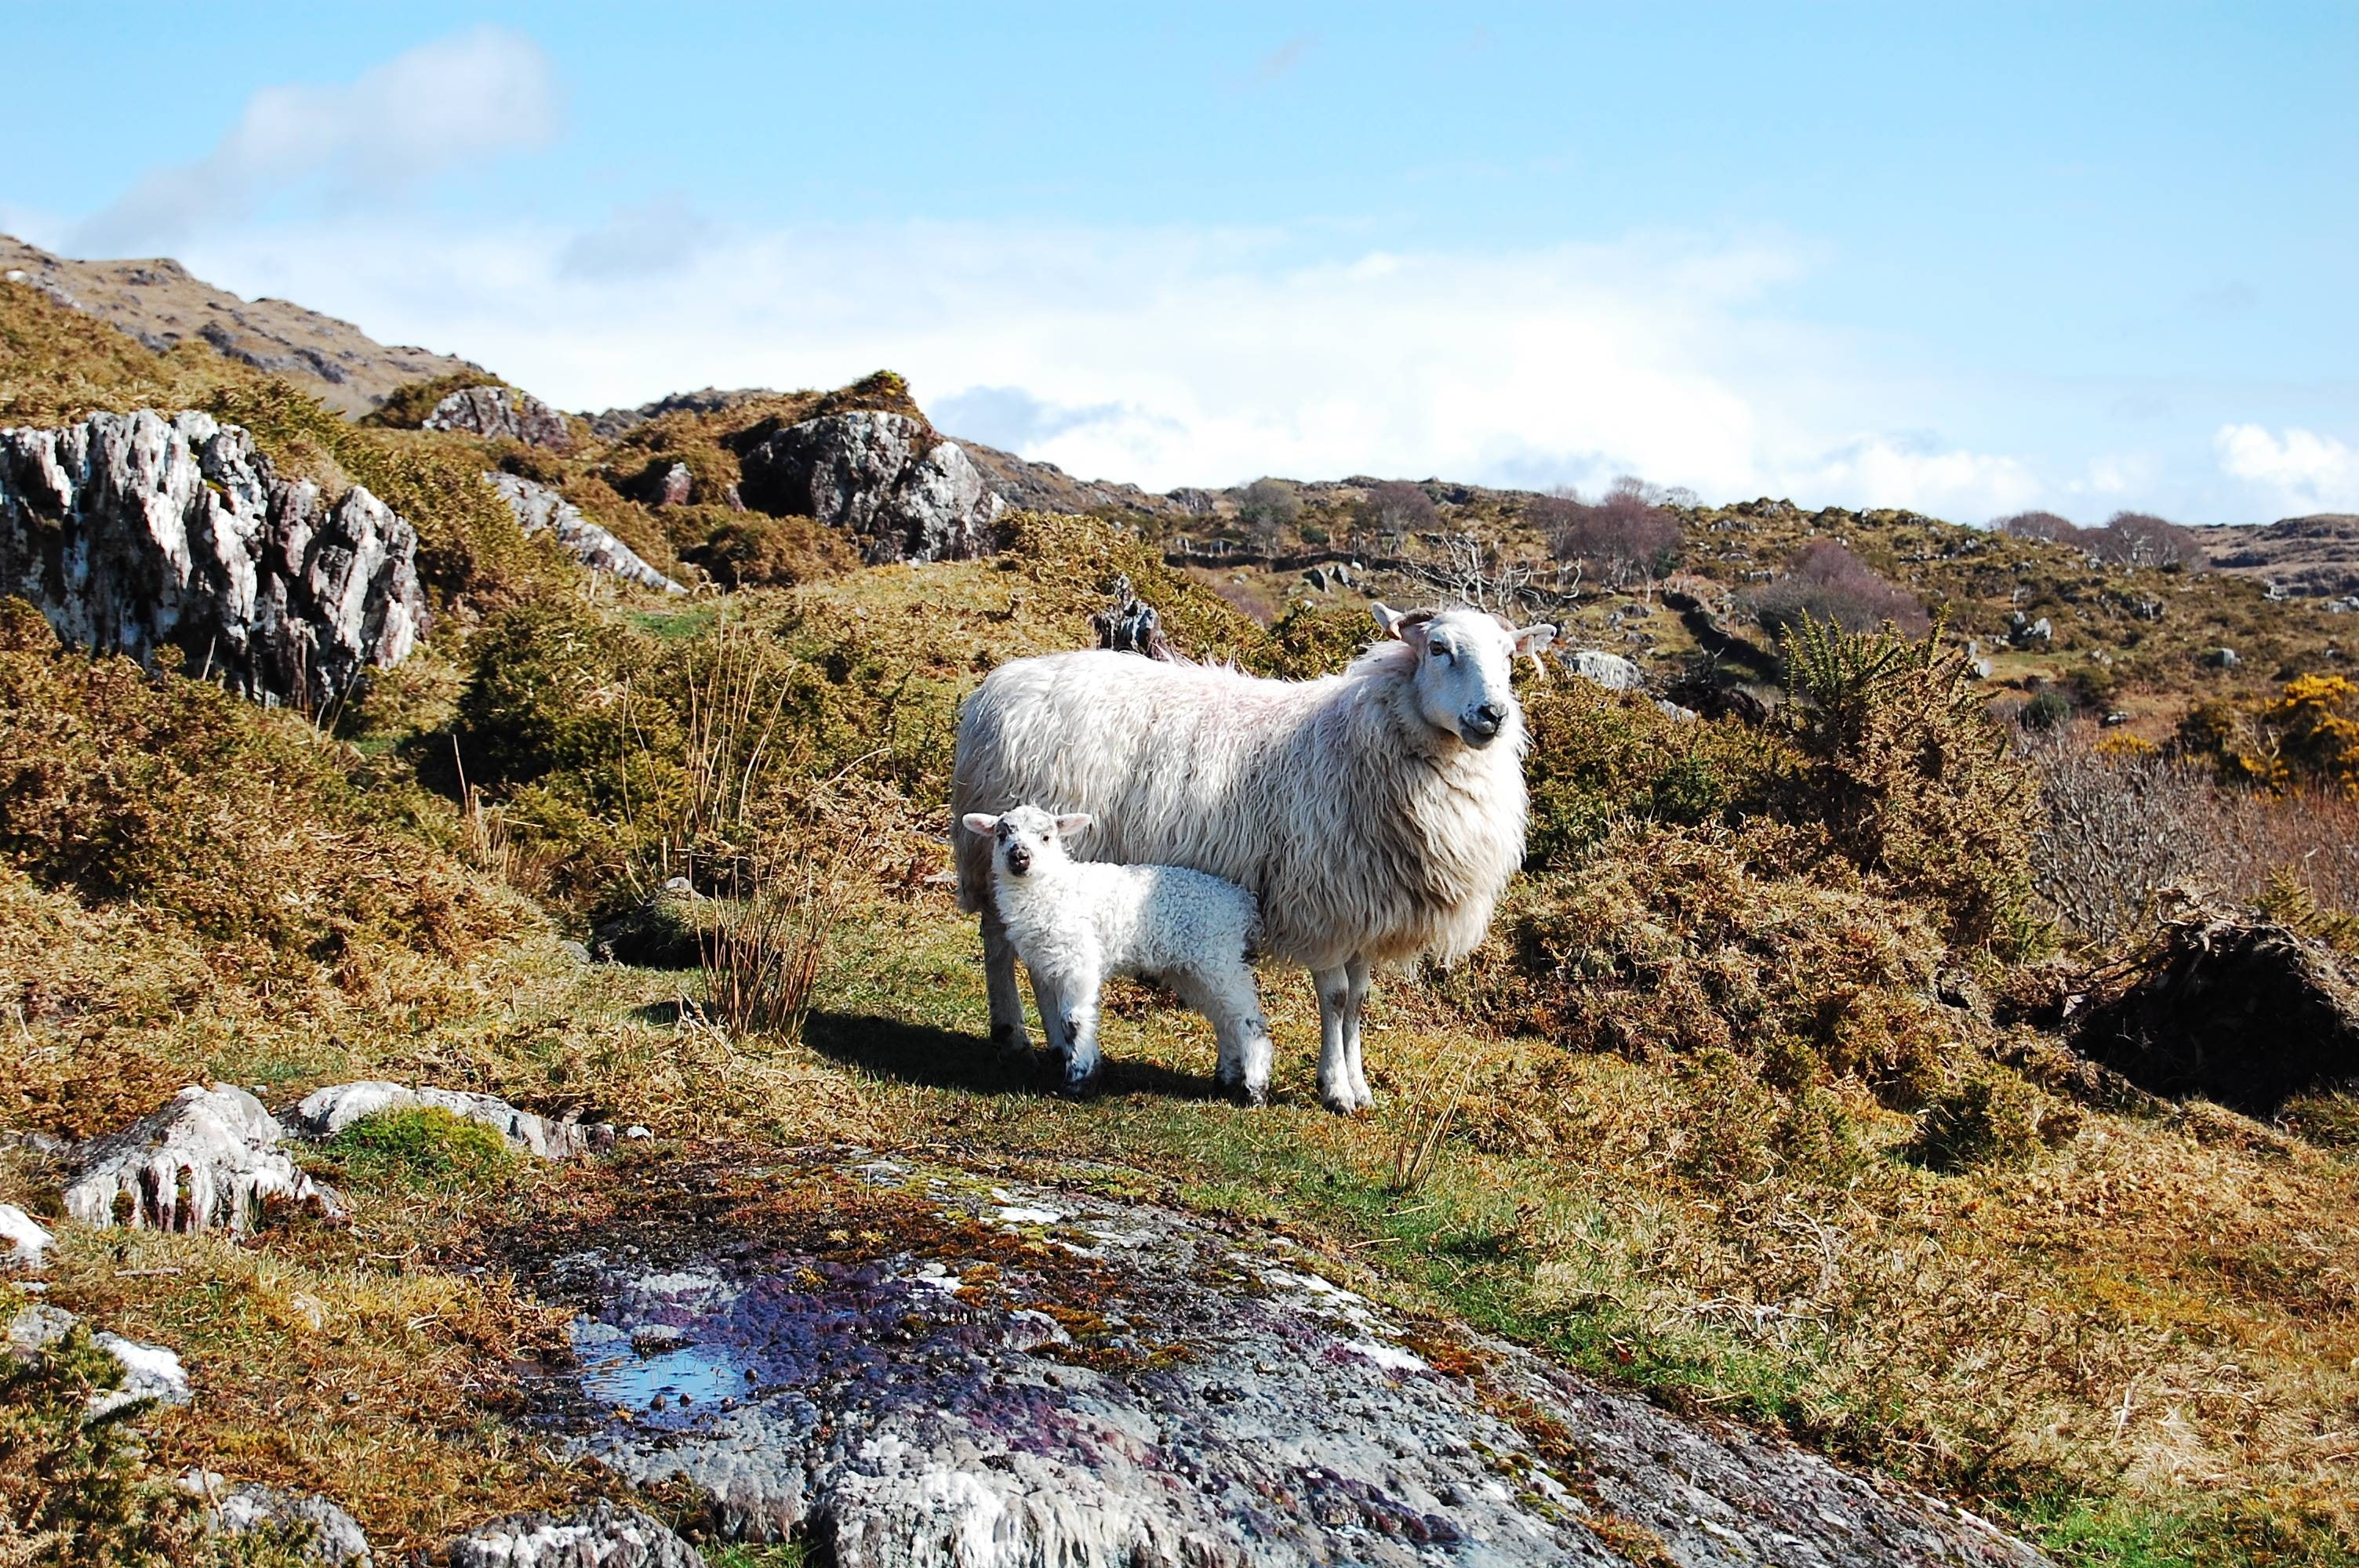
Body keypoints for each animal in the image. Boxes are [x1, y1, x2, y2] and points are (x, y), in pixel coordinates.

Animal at [961, 804, 1275, 1100]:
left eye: (1046, 837)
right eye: (1002, 835)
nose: (1020, 856)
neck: (1054, 888)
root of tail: (1241, 901)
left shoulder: (1080, 960)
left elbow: (1073, 1020)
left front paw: (1079, 1083)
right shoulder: (1051, 965)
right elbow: (1059, 1018)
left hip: (1221, 961)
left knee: (1249, 1021)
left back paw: (1255, 1089)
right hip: (1192, 971)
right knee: (1225, 1021)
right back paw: (1225, 1081)